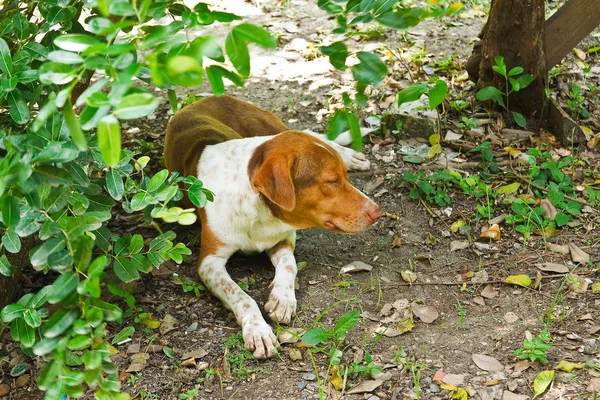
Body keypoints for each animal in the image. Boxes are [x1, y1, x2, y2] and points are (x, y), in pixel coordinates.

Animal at [163, 96, 380, 360]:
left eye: (344, 178)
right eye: (331, 181)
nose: (377, 212)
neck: (258, 209)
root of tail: (209, 97)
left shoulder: (283, 238)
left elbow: (289, 264)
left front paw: (282, 298)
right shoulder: (209, 263)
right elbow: (241, 295)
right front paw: (258, 330)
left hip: (269, 128)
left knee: (309, 132)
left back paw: (349, 154)